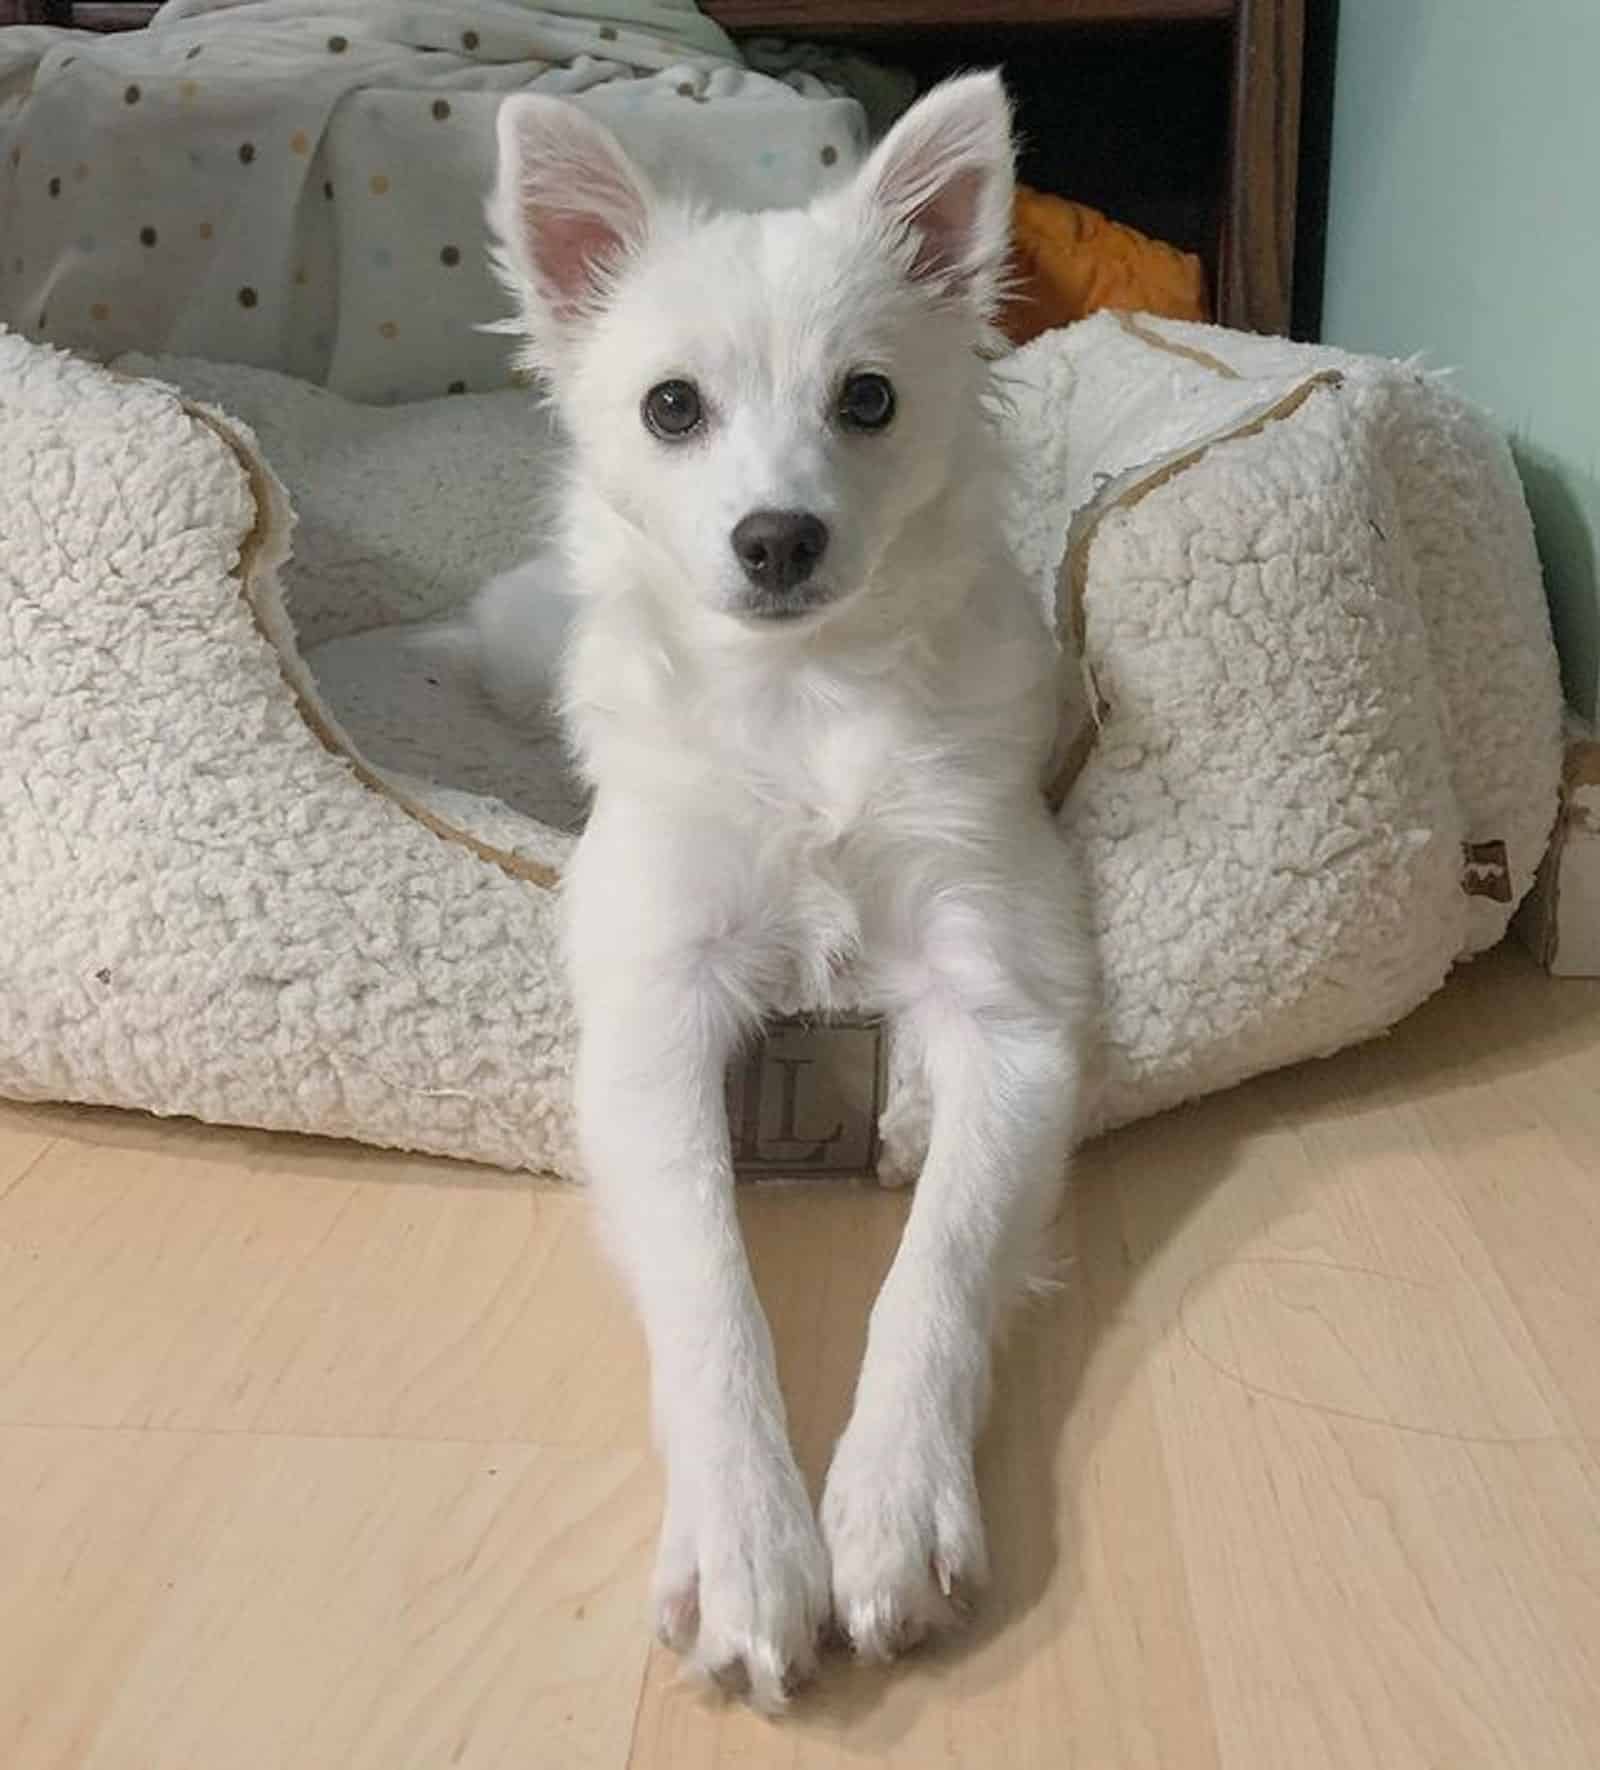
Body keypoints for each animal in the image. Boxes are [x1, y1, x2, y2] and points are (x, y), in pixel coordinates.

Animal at [481, 72, 1090, 1713]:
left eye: (867, 400)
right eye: (670, 408)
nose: (777, 539)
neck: (806, 694)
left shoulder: (1008, 1014)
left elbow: (936, 1265)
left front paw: (888, 1512)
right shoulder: (652, 1015)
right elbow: (709, 1280)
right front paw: (752, 1540)